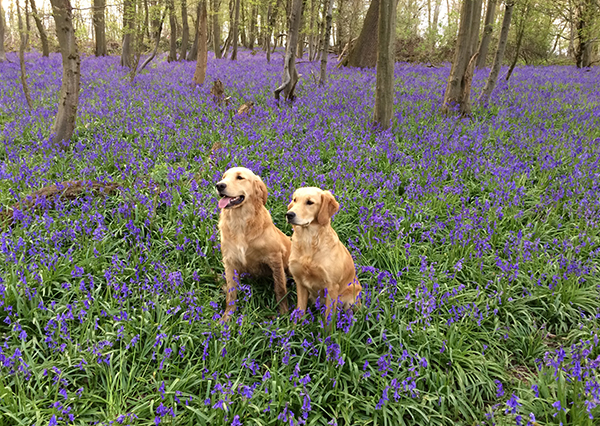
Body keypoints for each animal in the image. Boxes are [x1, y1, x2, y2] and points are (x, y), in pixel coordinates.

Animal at [216, 168, 290, 322]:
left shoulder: (275, 257)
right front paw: (227, 317)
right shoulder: (229, 261)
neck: (240, 222)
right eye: (224, 177)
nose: (219, 185)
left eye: (240, 177)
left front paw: (284, 315)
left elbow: (280, 288)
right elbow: (231, 293)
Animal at [284, 188, 360, 322]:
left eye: (310, 202)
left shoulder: (331, 287)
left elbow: (328, 319)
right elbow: (300, 312)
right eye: (295, 200)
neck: (308, 241)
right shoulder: (300, 282)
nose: (289, 214)